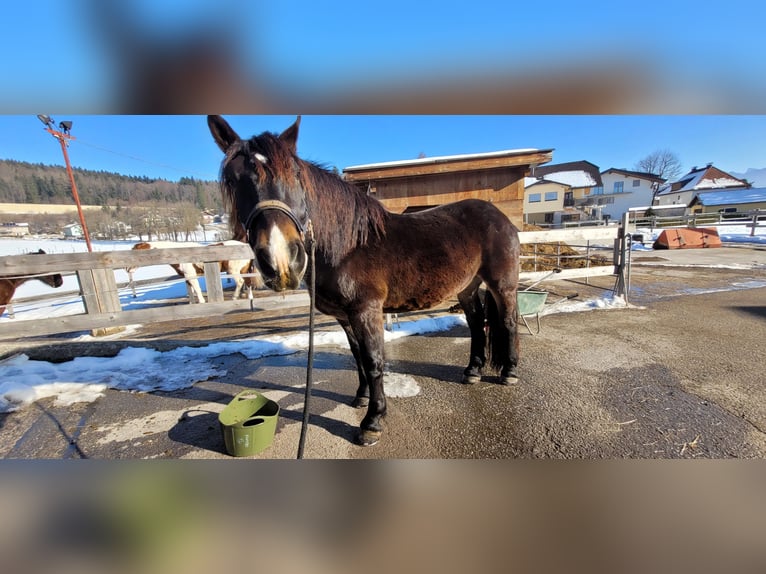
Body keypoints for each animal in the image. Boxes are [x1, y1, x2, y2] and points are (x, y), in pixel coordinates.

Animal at [208, 115, 521, 446]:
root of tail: (499, 216)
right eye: (233, 180)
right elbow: (357, 356)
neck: (347, 246)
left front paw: (373, 421)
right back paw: (472, 370)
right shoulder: (345, 317)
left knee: (509, 321)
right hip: (466, 288)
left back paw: (509, 372)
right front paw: (360, 398)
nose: (281, 261)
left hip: (502, 286)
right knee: (475, 323)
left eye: (294, 175)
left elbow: (373, 361)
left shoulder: (366, 311)